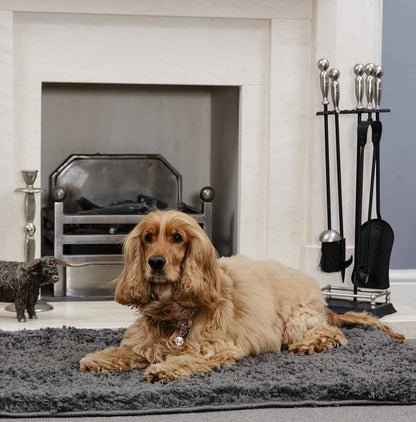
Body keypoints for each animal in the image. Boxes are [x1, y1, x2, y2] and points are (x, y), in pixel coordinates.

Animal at [80, 210, 404, 383]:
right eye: (148, 238)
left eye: (178, 238)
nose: (155, 262)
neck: (175, 311)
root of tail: (319, 292)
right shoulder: (143, 343)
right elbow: (123, 351)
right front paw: (98, 358)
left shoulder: (217, 348)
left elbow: (187, 359)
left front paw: (163, 369)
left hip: (296, 320)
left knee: (331, 331)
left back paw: (309, 344)